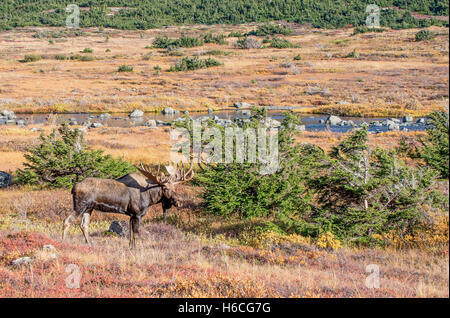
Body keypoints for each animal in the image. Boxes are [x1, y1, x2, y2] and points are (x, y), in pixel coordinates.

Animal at [62, 164, 193, 248]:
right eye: (165, 188)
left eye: (175, 187)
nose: (179, 201)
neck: (150, 197)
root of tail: (73, 188)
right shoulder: (137, 214)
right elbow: (136, 233)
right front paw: (137, 248)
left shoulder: (131, 215)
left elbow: (130, 234)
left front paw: (131, 248)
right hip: (80, 206)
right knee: (67, 221)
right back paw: (63, 242)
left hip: (89, 208)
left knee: (84, 225)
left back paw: (89, 244)